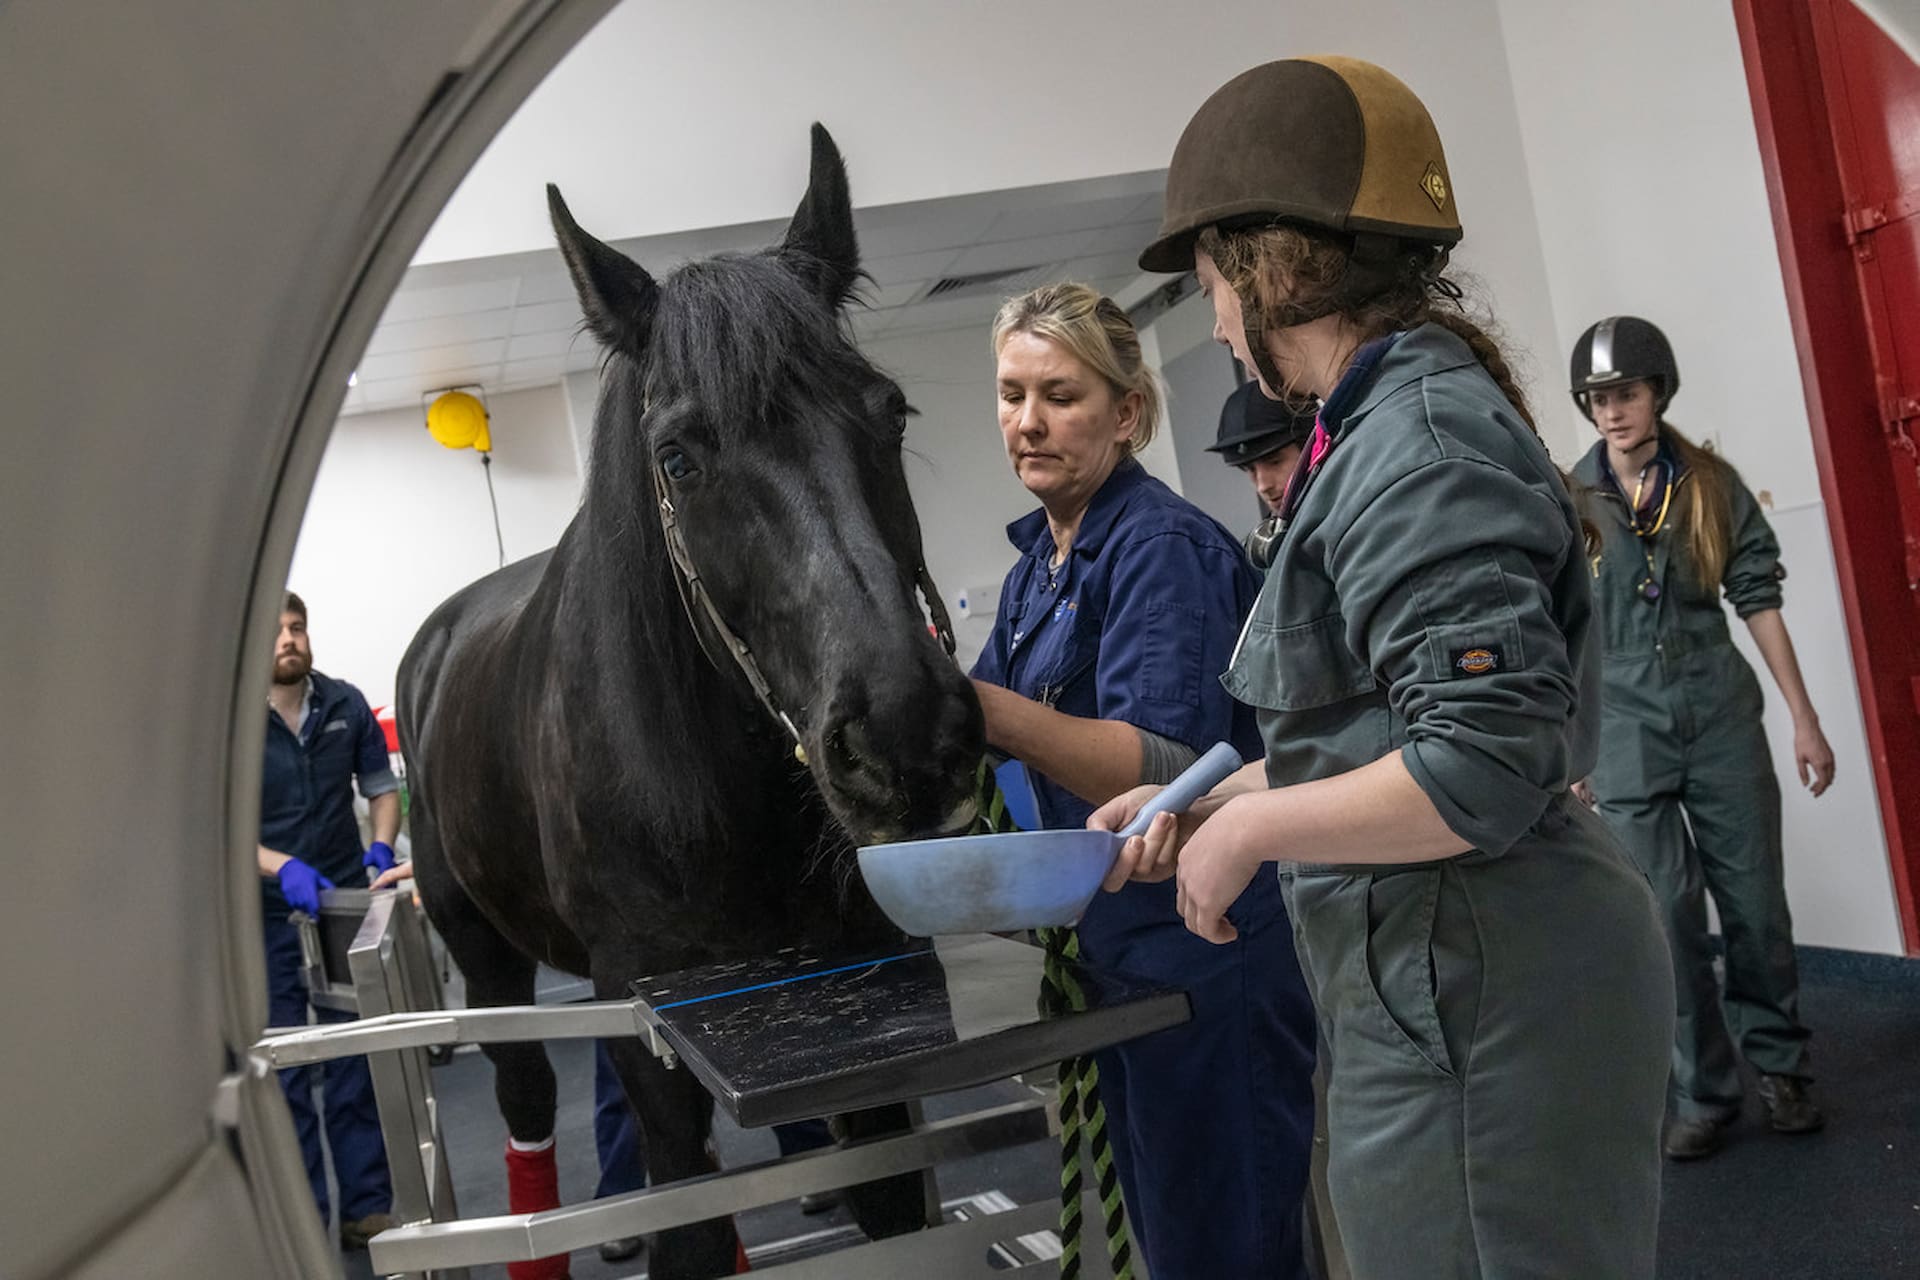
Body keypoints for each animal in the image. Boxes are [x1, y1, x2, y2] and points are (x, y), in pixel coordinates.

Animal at [395, 127, 983, 1280]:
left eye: (890, 411)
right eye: (677, 456)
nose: (906, 738)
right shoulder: (648, 1025)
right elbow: (688, 1218)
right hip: (485, 955)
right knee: (527, 1106)